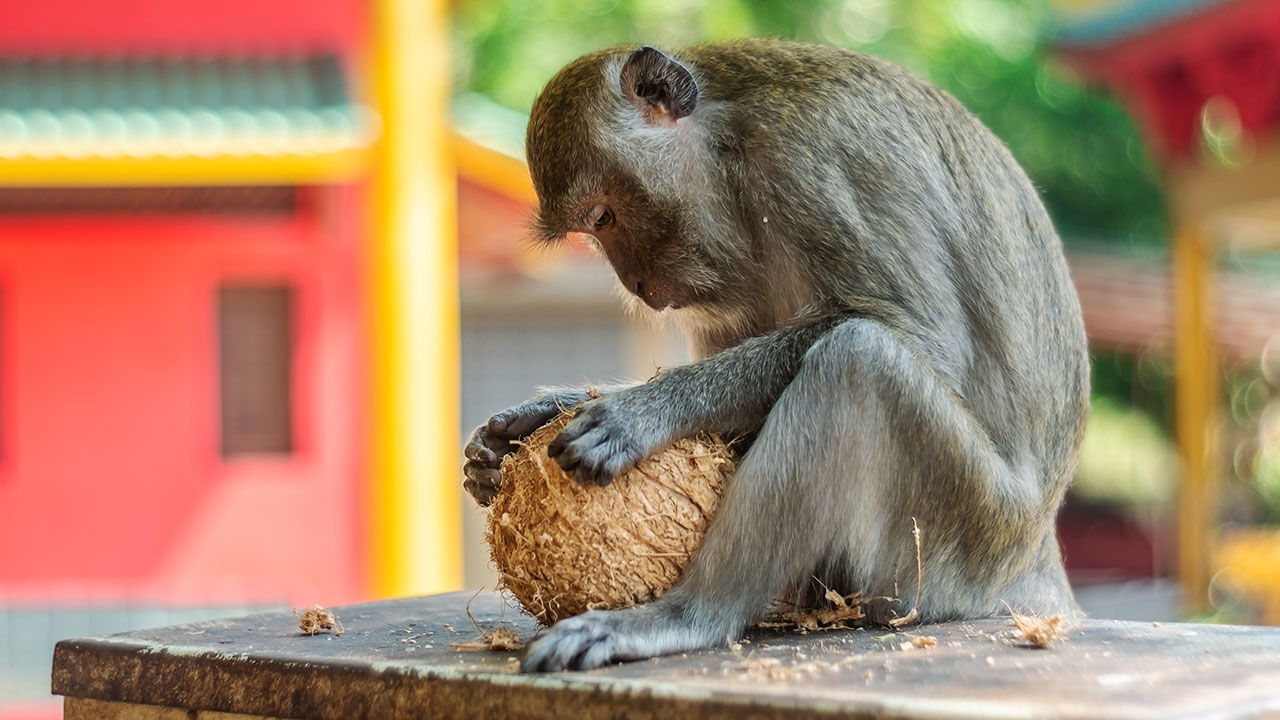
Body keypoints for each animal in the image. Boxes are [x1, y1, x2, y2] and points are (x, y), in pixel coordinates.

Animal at [463, 36, 1090, 671]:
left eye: (603, 217)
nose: (634, 283)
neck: (730, 142)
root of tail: (1033, 555)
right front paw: (534, 421)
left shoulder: (817, 163)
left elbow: (926, 334)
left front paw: (645, 409)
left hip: (956, 544)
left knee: (857, 361)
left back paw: (686, 617)